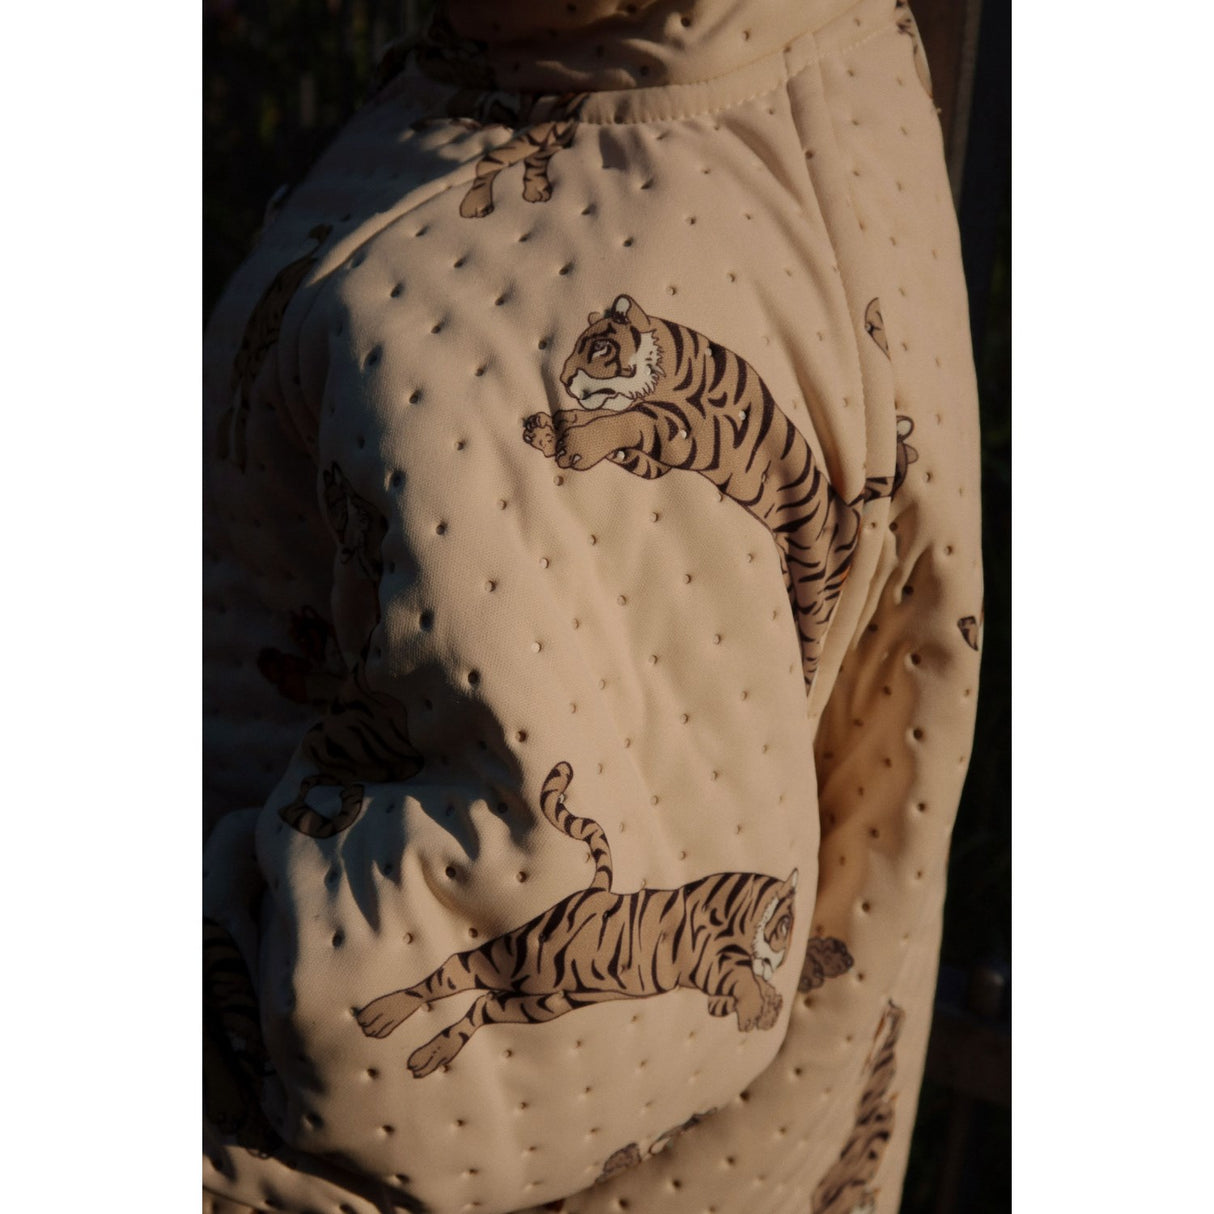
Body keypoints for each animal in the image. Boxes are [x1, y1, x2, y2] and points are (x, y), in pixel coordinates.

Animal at [356, 760, 799, 1078]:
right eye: (784, 929)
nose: (779, 963)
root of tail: (595, 891)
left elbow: (749, 983)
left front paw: (767, 1004)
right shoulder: (708, 958)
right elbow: (742, 980)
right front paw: (756, 1005)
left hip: (548, 1002)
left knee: (483, 1005)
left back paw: (432, 1052)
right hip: (513, 958)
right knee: (450, 971)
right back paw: (381, 1015)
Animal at [522, 294, 906, 692]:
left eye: (599, 347)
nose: (563, 379)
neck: (671, 369)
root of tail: (847, 506)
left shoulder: (691, 431)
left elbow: (631, 421)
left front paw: (575, 443)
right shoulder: (658, 458)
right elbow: (607, 424)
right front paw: (550, 431)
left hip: (816, 584)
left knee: (813, 647)